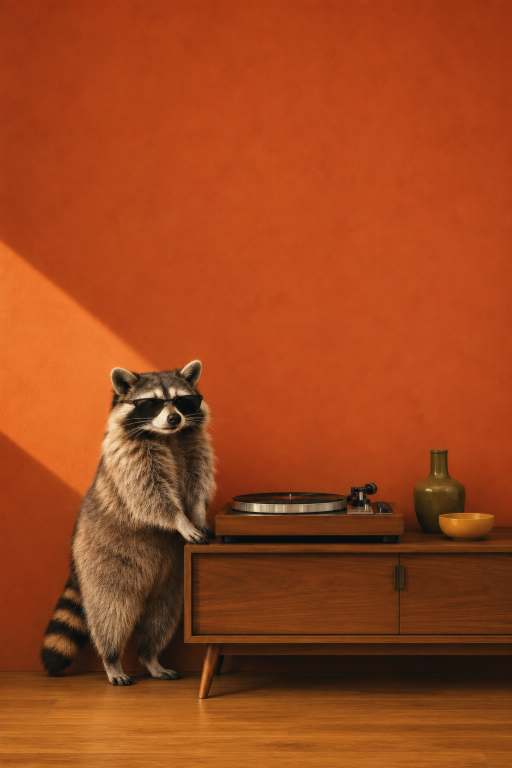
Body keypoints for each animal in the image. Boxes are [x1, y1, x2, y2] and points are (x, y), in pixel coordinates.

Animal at [41, 360, 215, 685]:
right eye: (151, 403)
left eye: (183, 401)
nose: (174, 418)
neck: (168, 436)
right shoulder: (129, 458)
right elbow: (149, 494)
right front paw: (180, 520)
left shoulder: (195, 444)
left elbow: (198, 481)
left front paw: (198, 512)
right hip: (105, 562)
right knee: (111, 612)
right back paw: (112, 659)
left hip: (172, 576)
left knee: (163, 615)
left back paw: (149, 656)